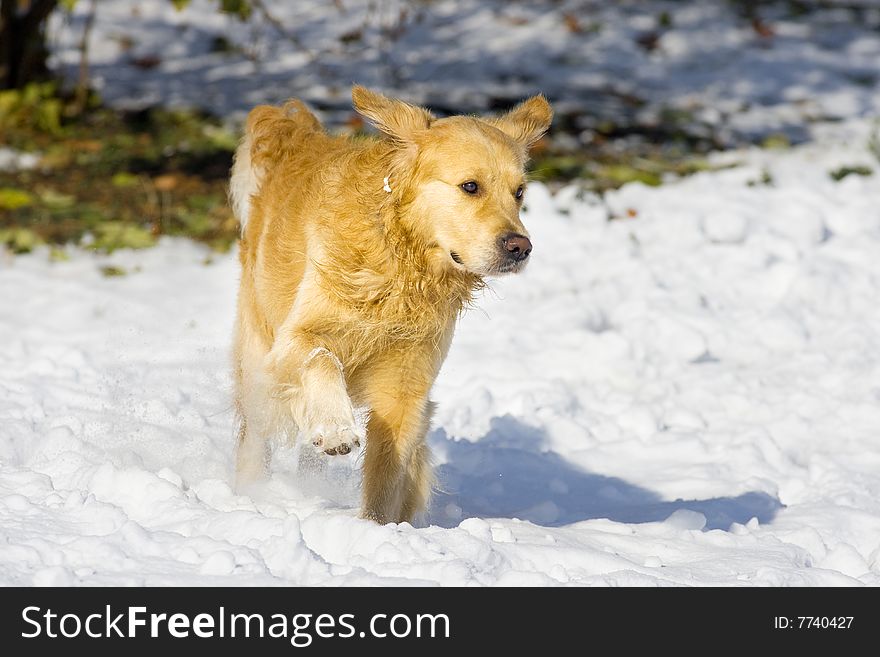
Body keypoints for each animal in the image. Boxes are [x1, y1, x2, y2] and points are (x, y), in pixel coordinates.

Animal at [230, 86, 552, 524]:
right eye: (470, 187)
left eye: (519, 192)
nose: (521, 247)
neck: (402, 264)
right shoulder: (293, 340)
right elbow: (321, 356)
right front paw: (336, 428)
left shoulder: (406, 387)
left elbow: (387, 475)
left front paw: (376, 529)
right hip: (257, 356)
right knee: (256, 434)